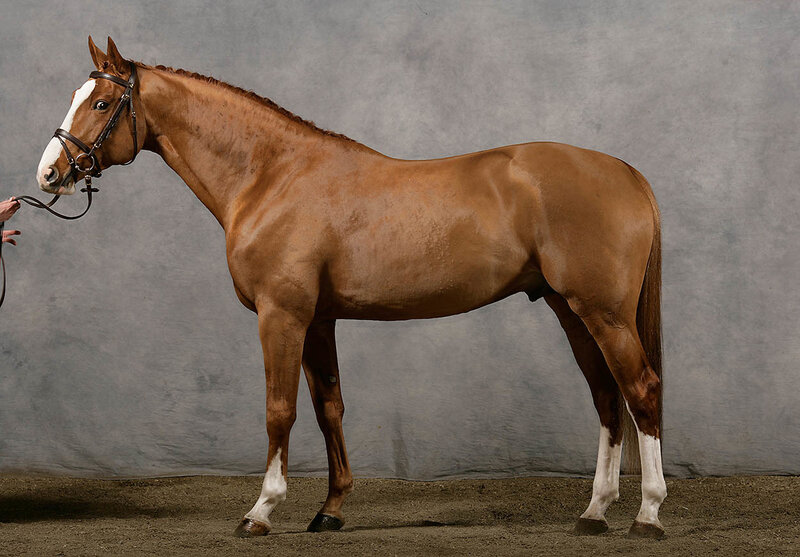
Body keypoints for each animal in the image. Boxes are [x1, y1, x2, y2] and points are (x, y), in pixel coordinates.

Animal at [35, 37, 666, 539]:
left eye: (101, 103)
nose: (49, 173)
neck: (271, 176)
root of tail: (626, 172)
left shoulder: (282, 315)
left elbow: (280, 409)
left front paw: (261, 510)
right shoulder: (318, 319)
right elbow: (328, 407)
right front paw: (331, 510)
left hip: (603, 313)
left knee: (640, 390)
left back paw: (648, 514)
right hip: (569, 309)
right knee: (607, 398)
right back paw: (594, 512)